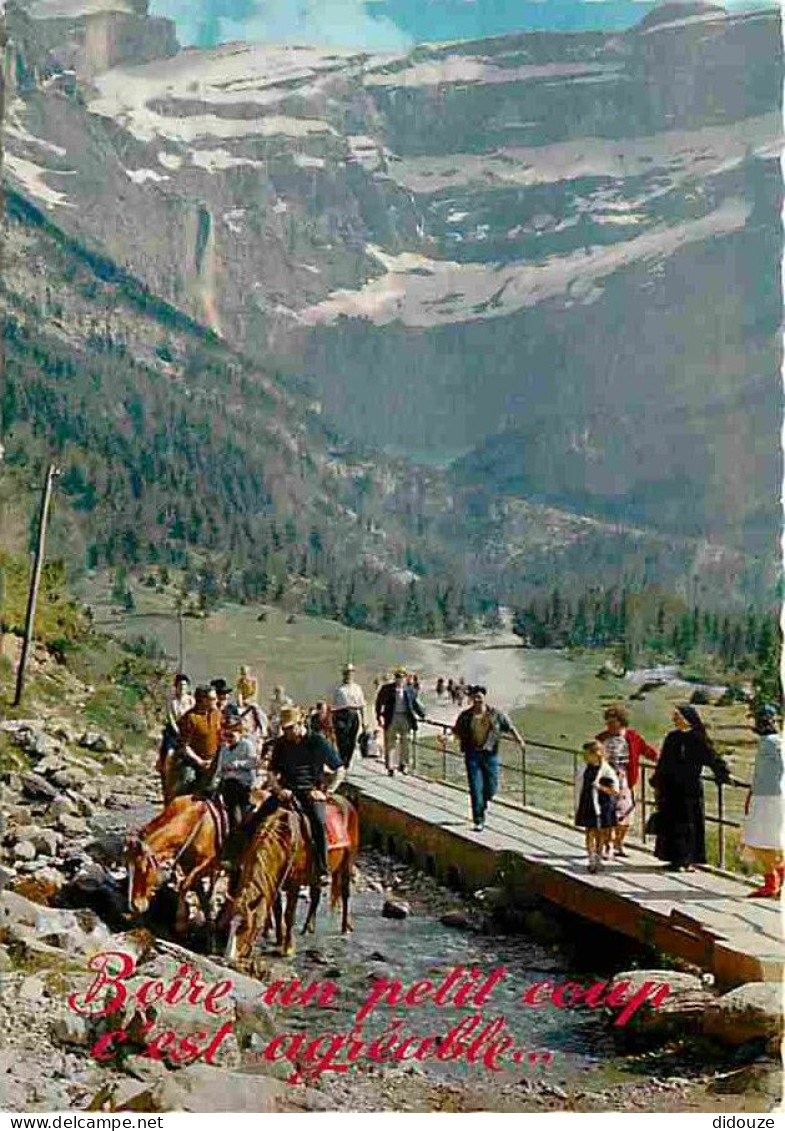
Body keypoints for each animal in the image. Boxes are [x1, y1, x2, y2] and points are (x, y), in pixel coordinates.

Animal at [125, 791, 223, 940]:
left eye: (143, 868)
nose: (135, 906)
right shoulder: (187, 864)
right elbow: (196, 889)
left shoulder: (206, 862)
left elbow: (185, 884)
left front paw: (181, 923)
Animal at [223, 796, 359, 963]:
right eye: (229, 924)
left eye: (245, 926)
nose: (228, 958)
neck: (287, 840)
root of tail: (347, 802)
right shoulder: (274, 880)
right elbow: (277, 910)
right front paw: (279, 940)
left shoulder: (294, 884)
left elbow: (289, 915)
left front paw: (287, 949)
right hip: (315, 877)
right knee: (315, 897)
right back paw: (308, 928)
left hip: (347, 863)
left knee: (345, 894)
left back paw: (345, 928)